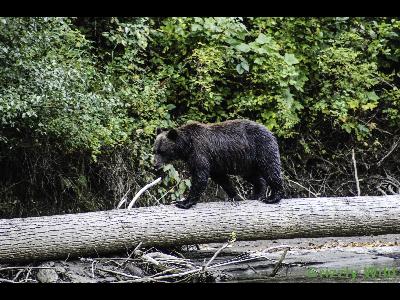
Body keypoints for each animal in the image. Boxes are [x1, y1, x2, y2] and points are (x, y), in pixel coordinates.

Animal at [152, 119, 282, 209]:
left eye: (162, 151)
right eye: (154, 150)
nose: (155, 164)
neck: (186, 146)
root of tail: (270, 132)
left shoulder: (200, 152)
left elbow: (200, 176)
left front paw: (184, 202)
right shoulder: (214, 163)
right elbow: (220, 178)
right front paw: (234, 195)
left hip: (262, 148)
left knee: (271, 169)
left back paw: (273, 197)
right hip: (247, 162)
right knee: (253, 176)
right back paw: (256, 194)